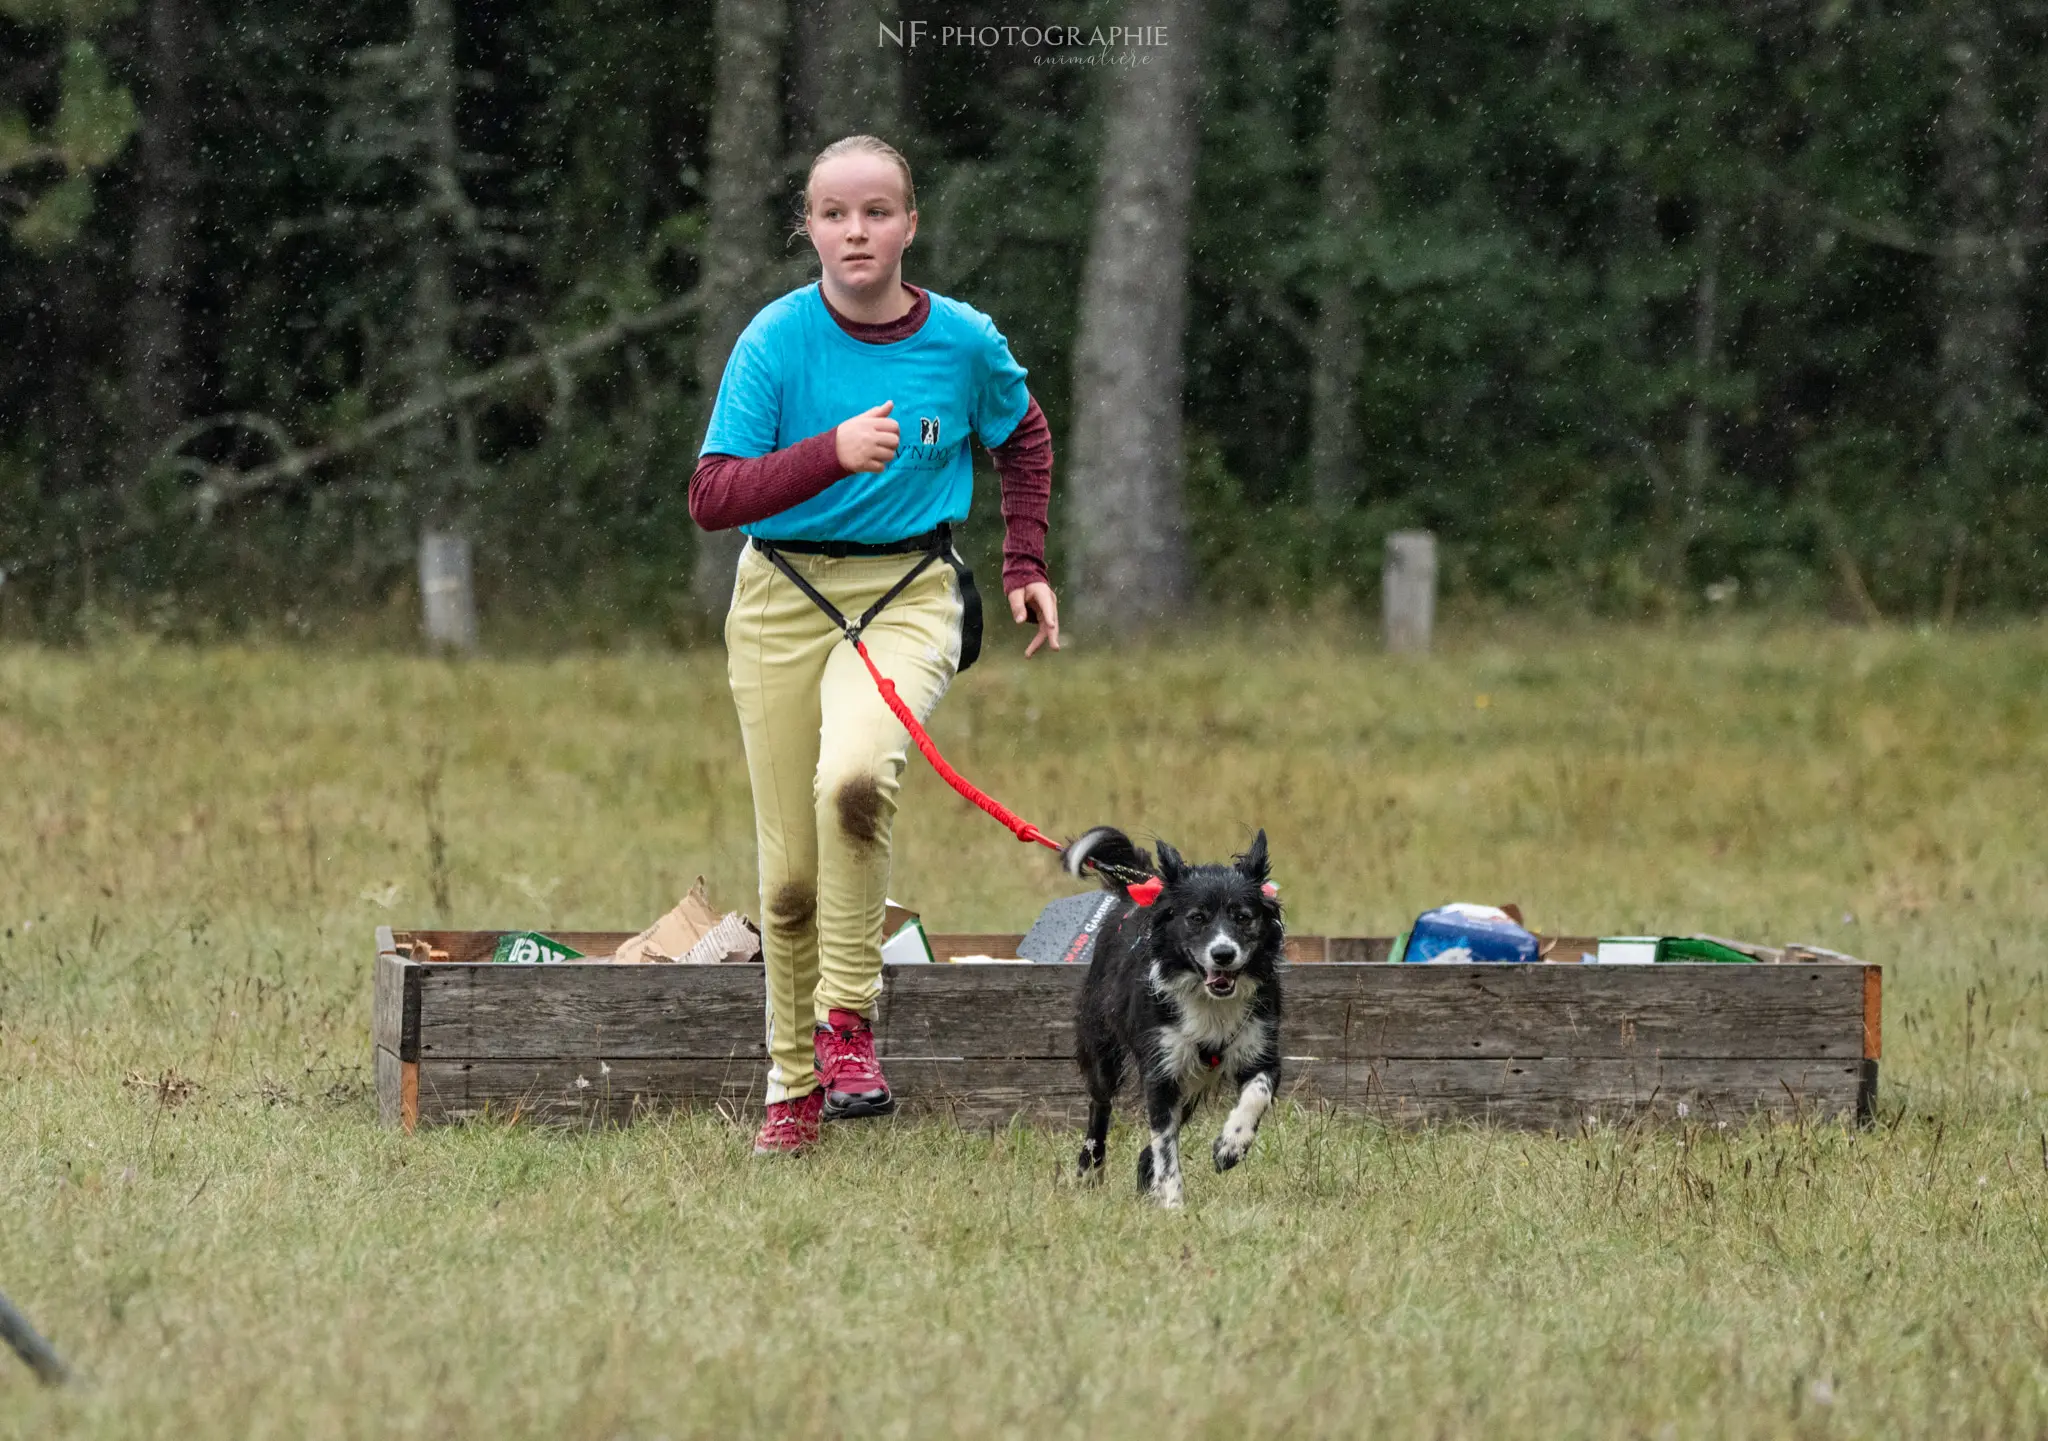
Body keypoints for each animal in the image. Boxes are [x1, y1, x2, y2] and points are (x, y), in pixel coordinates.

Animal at [1073, 822, 1277, 1203]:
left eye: (1244, 918)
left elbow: (1258, 1092)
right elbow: (1165, 1144)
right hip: (1103, 1048)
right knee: (1100, 1108)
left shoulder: (1262, 1048)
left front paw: (1231, 1146)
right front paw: (1172, 1201)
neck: (1209, 999)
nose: (1223, 954)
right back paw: (1088, 1172)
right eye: (1196, 918)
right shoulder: (1162, 1069)